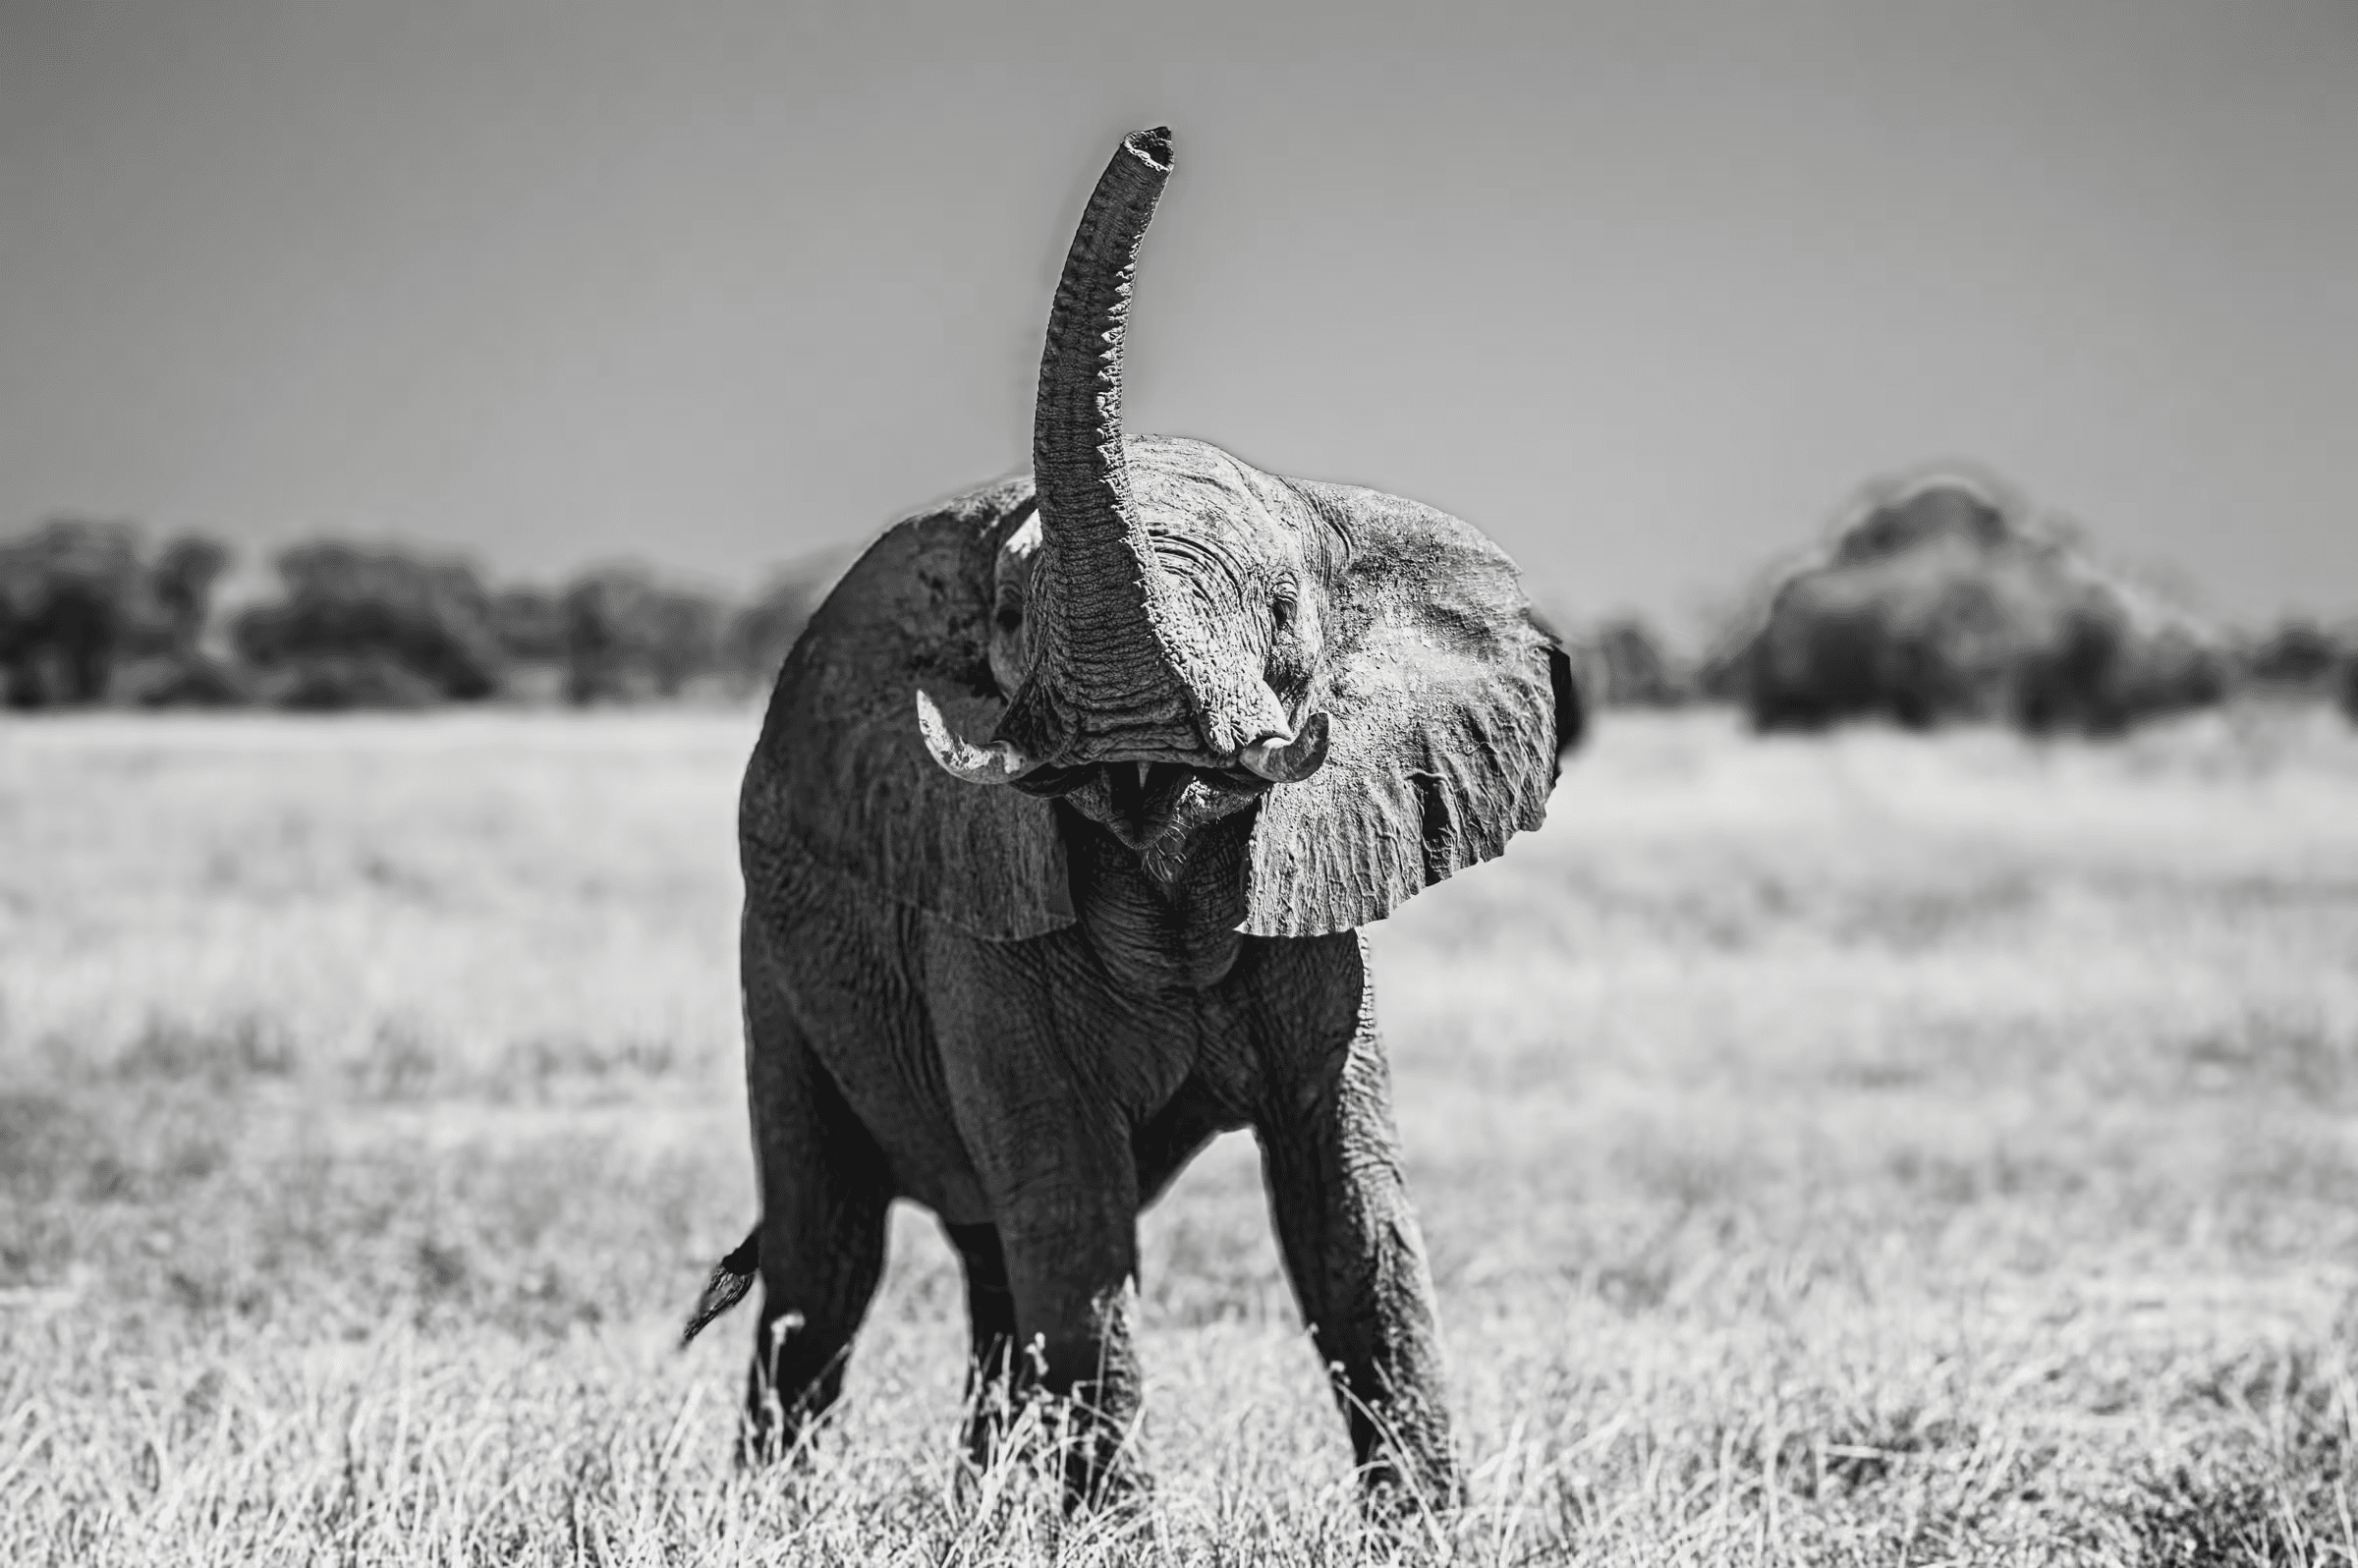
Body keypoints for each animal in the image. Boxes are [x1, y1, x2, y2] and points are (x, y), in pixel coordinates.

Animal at [683, 126, 1574, 1509]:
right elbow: (1074, 1212)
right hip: (775, 969)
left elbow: (1347, 1213)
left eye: (1284, 618)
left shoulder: (1315, 902)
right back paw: (781, 1509)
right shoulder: (979, 914)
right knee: (827, 1261)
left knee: (983, 1266)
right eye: (1007, 620)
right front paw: (1117, 1530)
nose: (1154, 142)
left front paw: (1428, 1529)